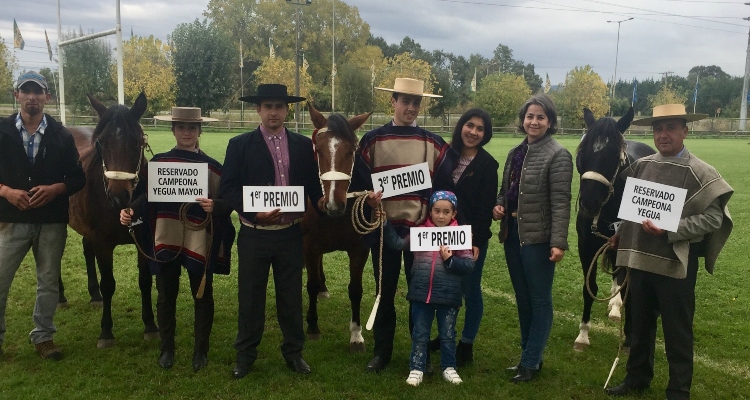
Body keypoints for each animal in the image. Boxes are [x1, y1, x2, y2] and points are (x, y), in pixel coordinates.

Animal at [68, 93, 161, 346]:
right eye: (101, 142)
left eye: (138, 141)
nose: (119, 196)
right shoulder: (102, 243)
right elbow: (109, 284)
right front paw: (106, 332)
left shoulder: (142, 239)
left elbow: (145, 281)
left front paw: (150, 325)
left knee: (85, 249)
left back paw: (94, 295)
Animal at [302, 103, 374, 350]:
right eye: (319, 151)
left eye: (351, 152)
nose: (334, 204)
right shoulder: (310, 247)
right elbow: (310, 284)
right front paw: (312, 327)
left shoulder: (360, 249)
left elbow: (355, 289)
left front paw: (356, 334)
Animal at [576, 108, 656, 352]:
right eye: (583, 151)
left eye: (614, 156)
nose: (589, 203)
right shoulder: (586, 246)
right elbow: (589, 287)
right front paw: (583, 334)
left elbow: (630, 288)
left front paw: (629, 337)